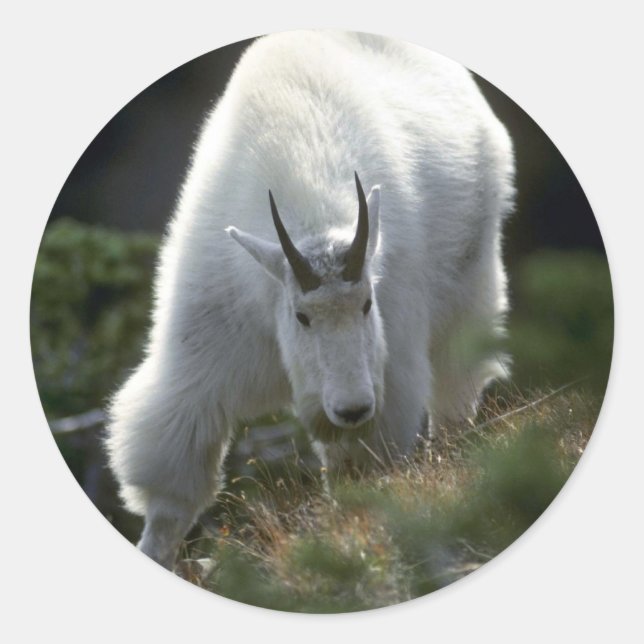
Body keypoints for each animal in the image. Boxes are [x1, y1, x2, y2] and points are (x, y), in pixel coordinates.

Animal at [106, 30, 515, 569]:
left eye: (367, 304)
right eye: (301, 316)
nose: (352, 409)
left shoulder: (390, 357)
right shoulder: (201, 355)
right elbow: (172, 495)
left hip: (470, 284)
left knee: (455, 392)